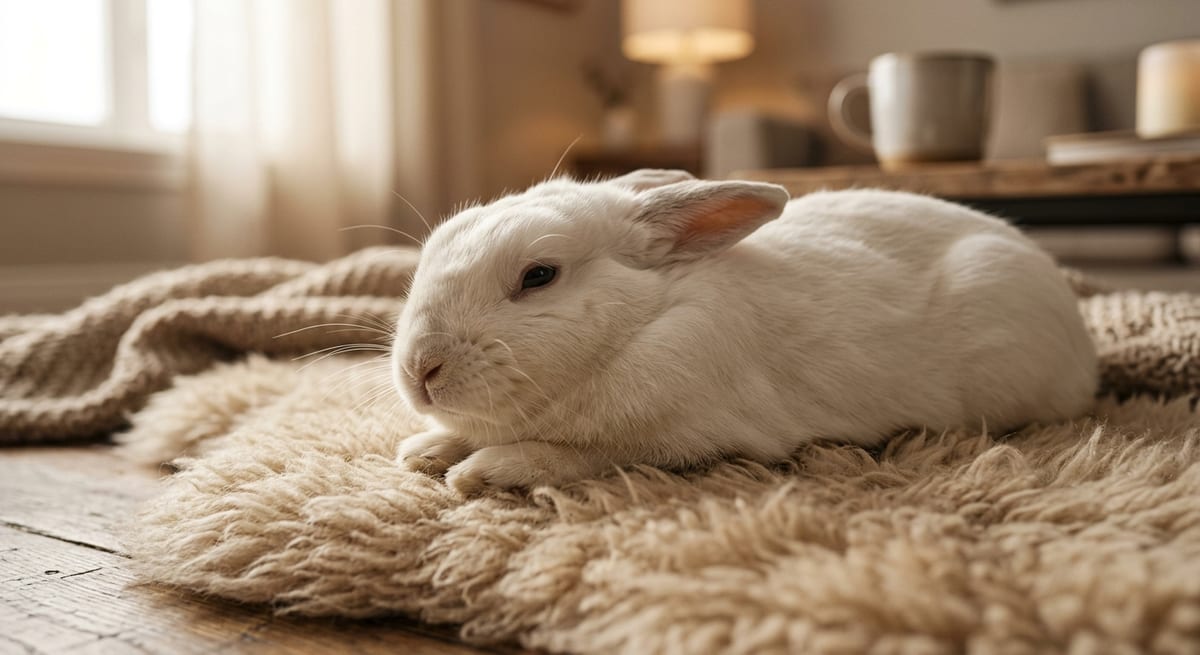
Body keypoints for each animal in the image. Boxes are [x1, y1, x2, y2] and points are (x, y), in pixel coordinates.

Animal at [391, 169, 1098, 495]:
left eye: (539, 275)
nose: (419, 370)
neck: (642, 322)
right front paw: (424, 451)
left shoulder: (688, 441)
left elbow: (578, 456)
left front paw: (482, 472)